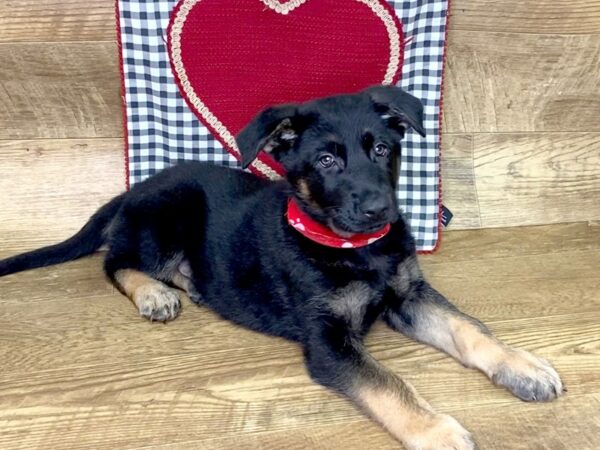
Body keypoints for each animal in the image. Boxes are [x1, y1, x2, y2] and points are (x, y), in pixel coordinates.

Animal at [0, 86, 564, 448]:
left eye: (383, 148)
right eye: (327, 161)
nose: (379, 209)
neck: (356, 248)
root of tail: (134, 188)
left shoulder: (408, 295)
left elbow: (470, 329)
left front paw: (522, 365)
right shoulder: (328, 341)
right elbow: (389, 386)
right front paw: (438, 431)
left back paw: (194, 284)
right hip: (166, 216)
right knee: (117, 261)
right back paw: (155, 293)